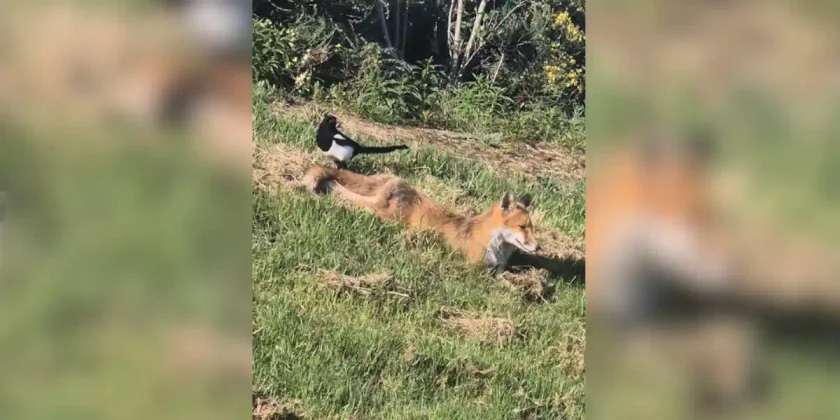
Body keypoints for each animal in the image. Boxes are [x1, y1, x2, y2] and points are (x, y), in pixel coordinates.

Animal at [302, 166, 540, 271]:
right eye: (522, 227)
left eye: (532, 228)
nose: (538, 247)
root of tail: (396, 180)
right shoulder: (475, 268)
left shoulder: (498, 269)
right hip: (384, 214)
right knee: (349, 195)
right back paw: (331, 190)